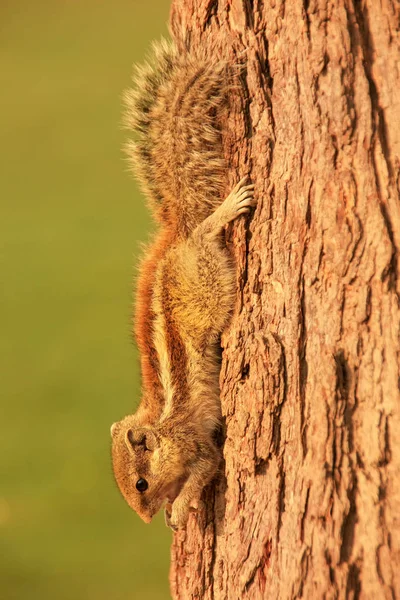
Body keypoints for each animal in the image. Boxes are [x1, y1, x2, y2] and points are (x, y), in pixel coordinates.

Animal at [109, 38, 255, 528]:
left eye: (140, 484)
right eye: (127, 492)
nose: (146, 519)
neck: (160, 425)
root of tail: (178, 231)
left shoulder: (196, 444)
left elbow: (206, 466)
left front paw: (180, 504)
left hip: (204, 273)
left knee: (206, 234)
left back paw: (225, 210)